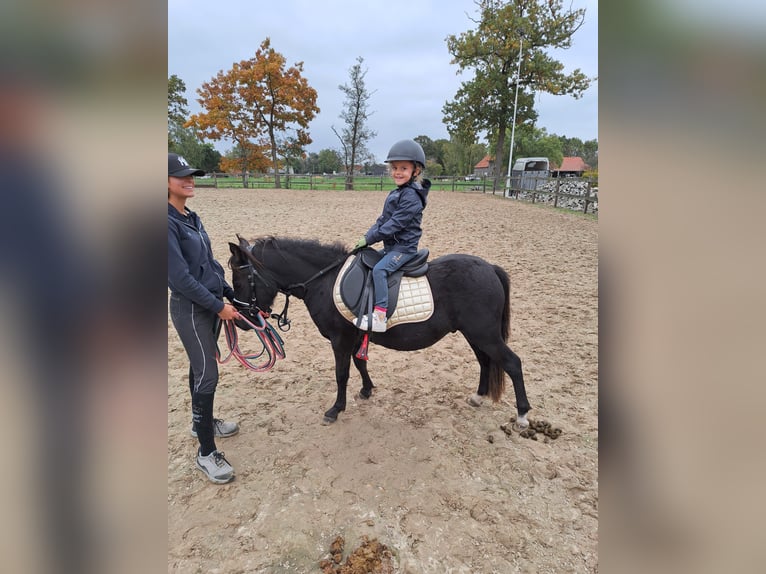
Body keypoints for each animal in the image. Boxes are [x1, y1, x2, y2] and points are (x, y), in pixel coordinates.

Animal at [228, 235, 531, 428]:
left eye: (240, 279)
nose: (241, 320)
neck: (324, 279)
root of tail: (489, 268)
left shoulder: (339, 339)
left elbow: (341, 374)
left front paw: (335, 409)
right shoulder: (353, 336)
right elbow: (360, 363)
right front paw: (367, 389)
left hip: (484, 334)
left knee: (512, 363)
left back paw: (522, 416)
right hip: (476, 335)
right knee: (486, 362)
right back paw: (479, 396)